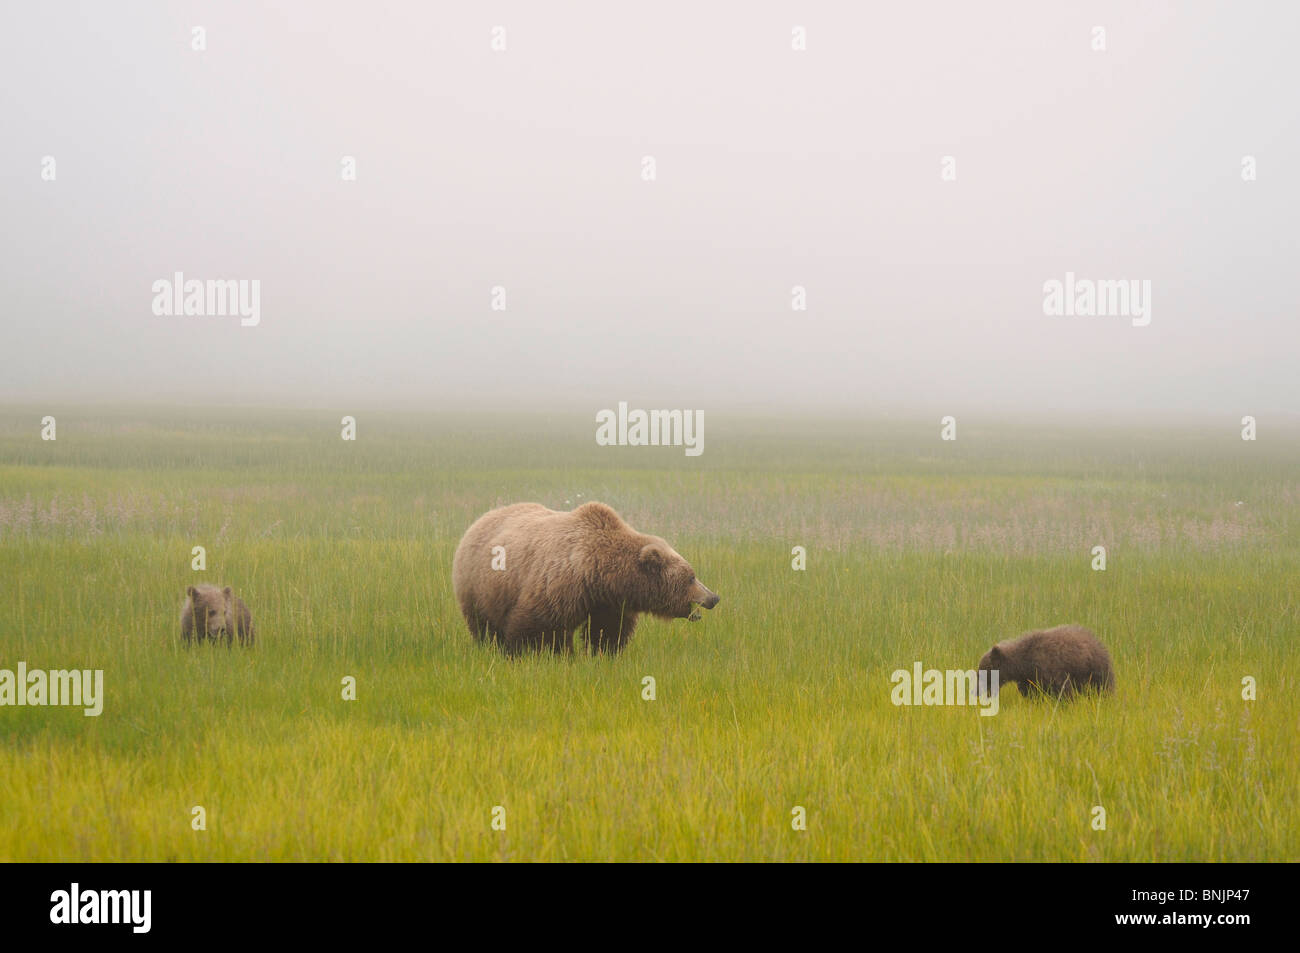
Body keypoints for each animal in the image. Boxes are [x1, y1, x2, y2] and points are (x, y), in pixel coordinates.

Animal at [452, 501, 719, 655]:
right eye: (691, 577)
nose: (713, 597)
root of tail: (480, 520)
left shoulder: (609, 603)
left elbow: (607, 631)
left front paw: (604, 653)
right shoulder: (559, 585)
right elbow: (539, 626)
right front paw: (550, 655)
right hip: (480, 587)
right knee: (483, 625)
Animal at [977, 625, 1114, 699]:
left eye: (982, 672)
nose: (977, 691)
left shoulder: (1050, 668)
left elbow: (1062, 689)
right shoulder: (1029, 678)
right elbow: (1031, 693)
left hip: (1095, 668)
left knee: (1103, 687)